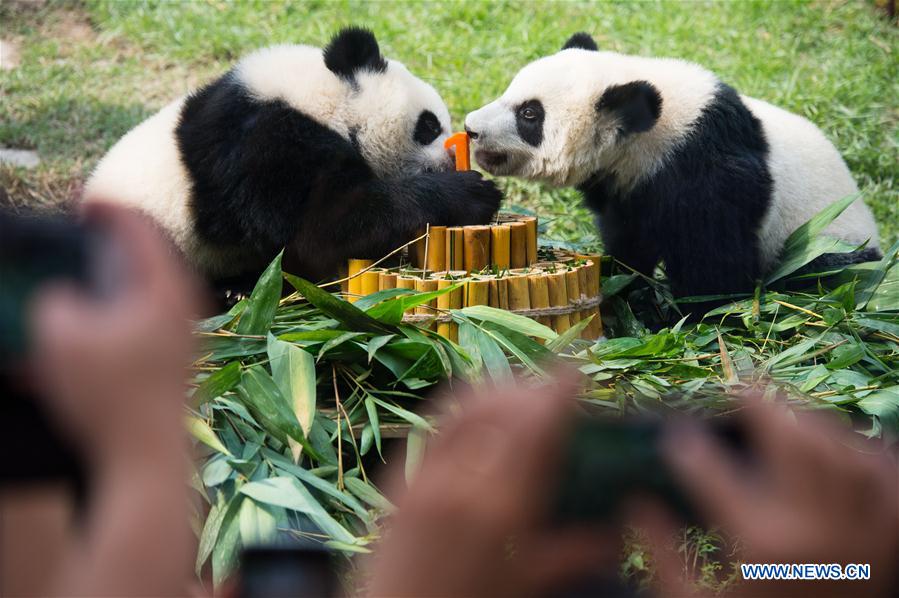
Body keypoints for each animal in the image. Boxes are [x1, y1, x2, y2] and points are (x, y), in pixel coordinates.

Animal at [84, 27, 501, 290]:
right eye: (429, 125)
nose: (454, 157)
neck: (320, 100)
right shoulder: (262, 145)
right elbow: (316, 232)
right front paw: (470, 193)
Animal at [464, 33, 880, 308]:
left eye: (529, 114)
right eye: (510, 92)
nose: (471, 128)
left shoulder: (706, 169)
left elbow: (717, 264)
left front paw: (674, 314)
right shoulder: (628, 185)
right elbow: (629, 241)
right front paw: (625, 285)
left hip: (826, 239)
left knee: (823, 273)